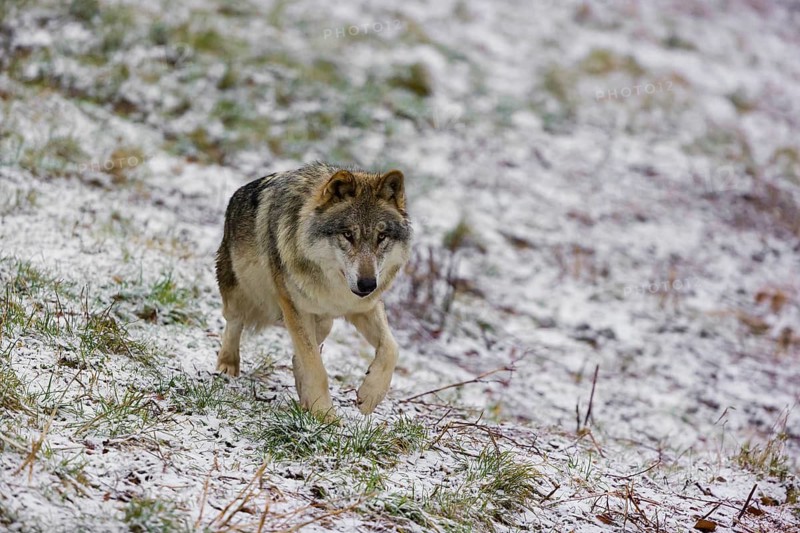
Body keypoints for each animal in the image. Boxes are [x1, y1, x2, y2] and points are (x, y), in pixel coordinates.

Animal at [215, 162, 412, 418]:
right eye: (348, 235)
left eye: (382, 237)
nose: (368, 284)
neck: (333, 286)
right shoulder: (295, 308)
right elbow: (315, 367)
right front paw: (325, 415)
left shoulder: (364, 306)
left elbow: (391, 348)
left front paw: (370, 395)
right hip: (239, 292)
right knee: (234, 323)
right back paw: (227, 366)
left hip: (325, 320)